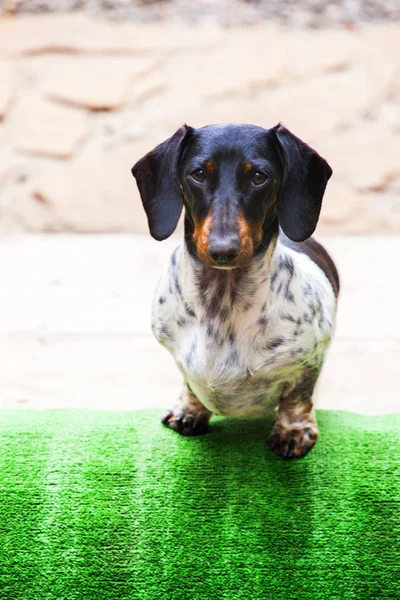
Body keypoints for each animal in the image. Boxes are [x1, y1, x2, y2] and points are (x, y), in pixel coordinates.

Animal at [133, 123, 340, 460]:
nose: (223, 250)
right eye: (198, 173)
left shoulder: (310, 361)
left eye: (259, 176)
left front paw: (293, 431)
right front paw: (189, 411)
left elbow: (298, 396)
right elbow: (188, 383)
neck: (222, 302)